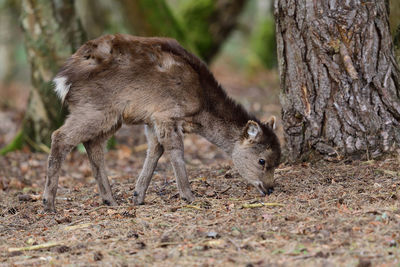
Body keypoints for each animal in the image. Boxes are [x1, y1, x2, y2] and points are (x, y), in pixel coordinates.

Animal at [43, 34, 280, 213]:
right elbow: (175, 151)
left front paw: (138, 195)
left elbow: (155, 151)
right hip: (97, 107)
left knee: (93, 144)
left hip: (110, 116)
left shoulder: (152, 120)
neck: (201, 108)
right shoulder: (167, 113)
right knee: (60, 136)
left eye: (278, 161)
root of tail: (63, 79)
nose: (269, 189)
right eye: (262, 160)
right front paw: (189, 196)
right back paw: (49, 204)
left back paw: (110, 199)